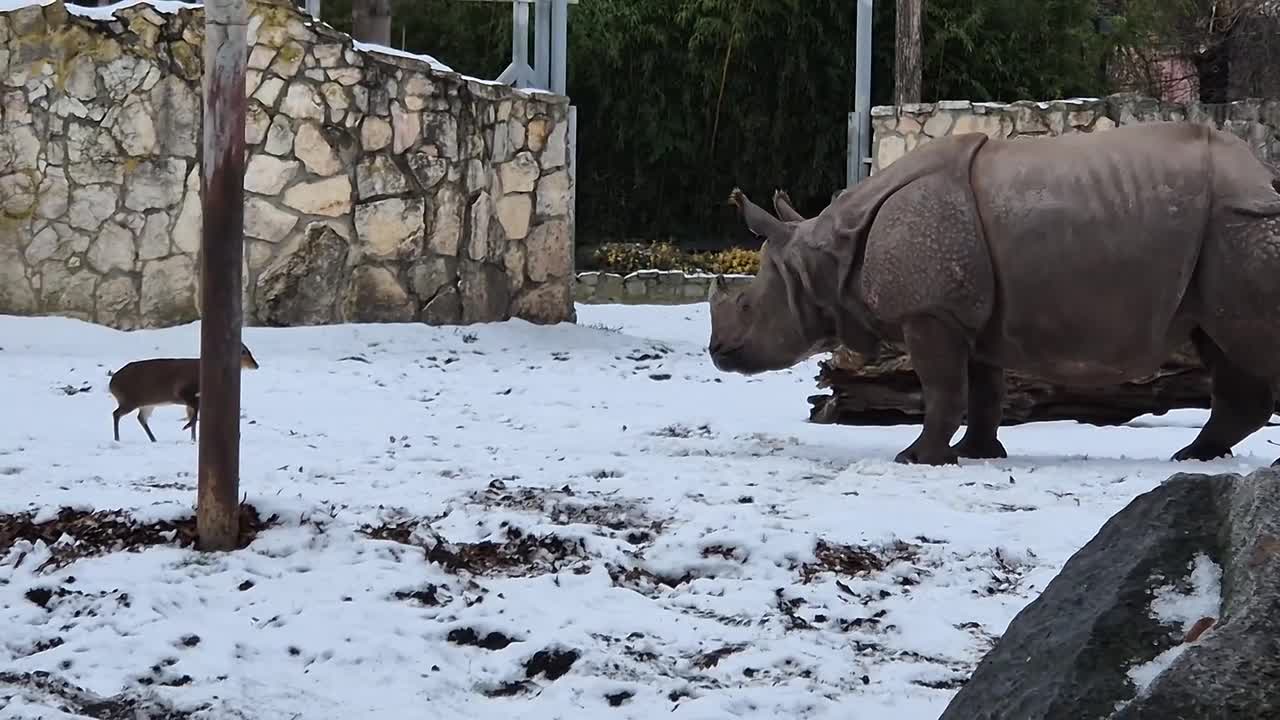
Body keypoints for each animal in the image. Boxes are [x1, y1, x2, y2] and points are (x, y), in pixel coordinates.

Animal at [108, 343, 260, 443]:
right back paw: (117, 439)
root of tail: (111, 384)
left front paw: (193, 439)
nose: (256, 365)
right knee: (116, 413)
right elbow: (194, 415)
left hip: (146, 404)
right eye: (244, 351)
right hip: (129, 400)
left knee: (140, 418)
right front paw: (187, 429)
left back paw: (153, 439)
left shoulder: (194, 398)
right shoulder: (183, 392)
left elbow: (194, 416)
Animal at [707, 121, 1280, 465]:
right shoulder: (968, 314)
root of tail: (1262, 173)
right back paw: (1196, 457)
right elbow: (984, 391)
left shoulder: (929, 312)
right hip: (1225, 231)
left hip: (1240, 222)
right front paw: (979, 453)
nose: (717, 352)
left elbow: (943, 389)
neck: (826, 253)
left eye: (747, 305)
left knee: (1244, 339)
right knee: (1223, 342)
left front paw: (916, 459)